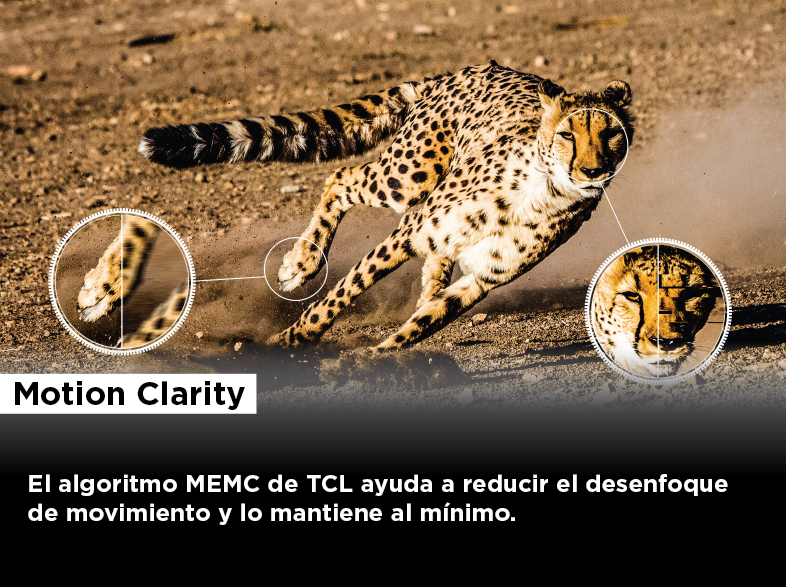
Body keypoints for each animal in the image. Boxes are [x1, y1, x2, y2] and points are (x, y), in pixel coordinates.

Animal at [137, 61, 634, 351]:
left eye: (611, 134)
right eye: (567, 134)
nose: (591, 170)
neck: (544, 190)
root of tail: (471, 68)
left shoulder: (481, 280)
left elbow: (422, 326)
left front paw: (380, 358)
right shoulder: (407, 234)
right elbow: (340, 295)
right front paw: (291, 339)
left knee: (432, 269)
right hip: (407, 178)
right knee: (340, 178)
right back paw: (301, 263)